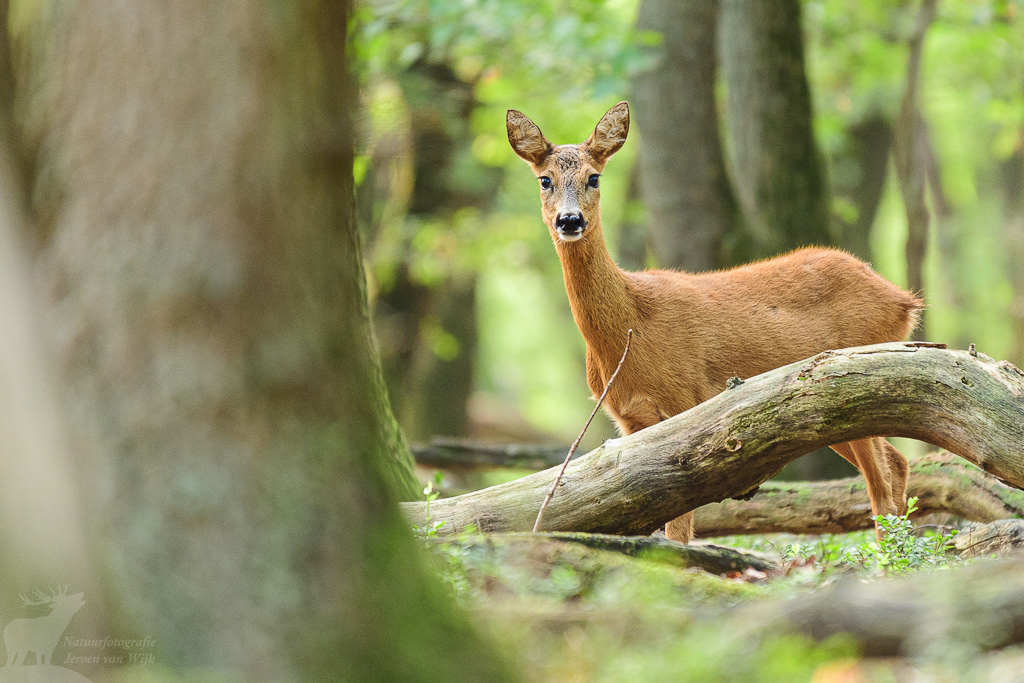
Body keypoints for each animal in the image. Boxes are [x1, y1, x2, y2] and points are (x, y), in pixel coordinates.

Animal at [506, 102, 923, 544]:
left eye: (594, 177)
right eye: (545, 180)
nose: (570, 221)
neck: (630, 327)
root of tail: (903, 300)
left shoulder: (683, 400)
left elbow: (679, 531)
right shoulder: (630, 421)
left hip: (857, 378)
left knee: (881, 482)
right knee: (896, 463)